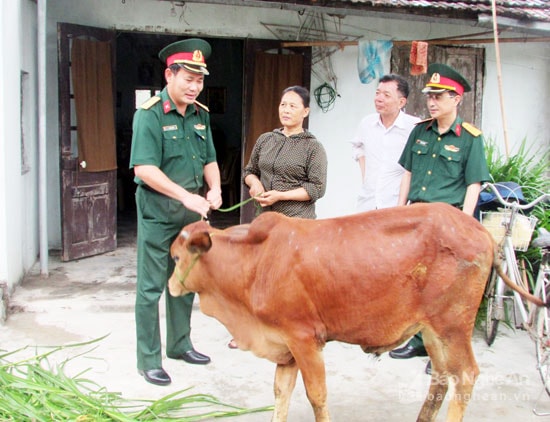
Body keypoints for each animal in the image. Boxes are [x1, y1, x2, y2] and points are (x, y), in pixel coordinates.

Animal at [168, 203, 532, 420]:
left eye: (176, 257)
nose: (171, 285)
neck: (256, 262)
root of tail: (482, 232)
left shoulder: (304, 338)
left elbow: (316, 395)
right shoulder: (285, 346)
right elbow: (281, 392)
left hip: (453, 326)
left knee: (465, 376)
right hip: (432, 332)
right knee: (442, 378)